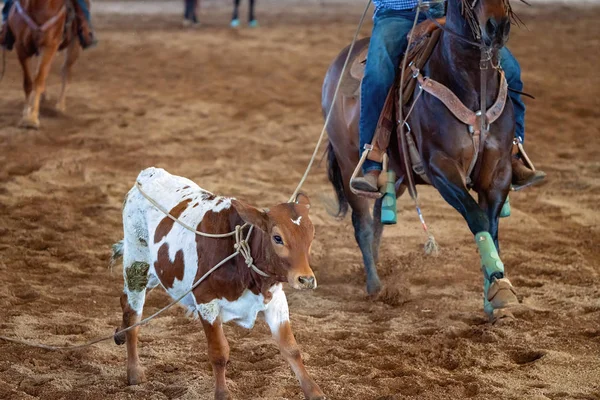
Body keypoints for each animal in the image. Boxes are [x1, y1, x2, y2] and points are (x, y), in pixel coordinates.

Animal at [7, 0, 79, 128]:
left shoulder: (49, 46)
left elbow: (39, 80)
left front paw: (32, 118)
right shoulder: (21, 47)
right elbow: (28, 82)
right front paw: (26, 113)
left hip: (73, 46)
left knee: (65, 71)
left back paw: (60, 105)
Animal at [114, 166, 326, 400]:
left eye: (311, 236)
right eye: (277, 238)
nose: (306, 279)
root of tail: (148, 174)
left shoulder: (276, 301)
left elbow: (291, 348)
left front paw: (314, 392)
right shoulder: (206, 301)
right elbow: (219, 353)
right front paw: (223, 393)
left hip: (155, 271)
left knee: (124, 299)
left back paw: (120, 334)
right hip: (137, 262)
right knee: (133, 313)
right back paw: (134, 371)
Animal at [322, 0, 524, 320]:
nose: (497, 27)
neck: (472, 84)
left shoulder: (499, 171)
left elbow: (492, 227)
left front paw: (494, 294)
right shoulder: (441, 168)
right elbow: (476, 217)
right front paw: (498, 286)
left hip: (402, 172)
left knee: (379, 213)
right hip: (346, 161)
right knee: (362, 222)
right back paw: (374, 284)